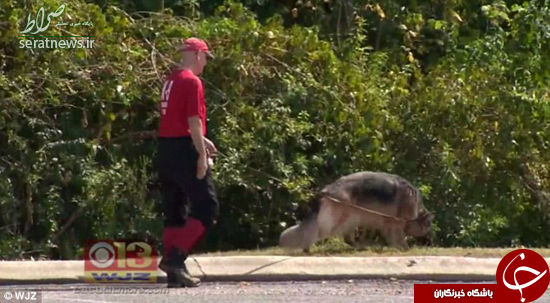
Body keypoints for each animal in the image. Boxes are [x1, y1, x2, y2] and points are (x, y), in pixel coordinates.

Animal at [282, 171, 438, 252]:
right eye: (428, 227)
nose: (431, 243)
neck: (416, 211)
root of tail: (325, 190)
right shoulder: (396, 223)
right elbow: (399, 237)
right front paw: (405, 249)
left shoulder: (386, 223)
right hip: (342, 218)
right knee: (318, 232)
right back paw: (307, 248)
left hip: (353, 217)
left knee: (347, 238)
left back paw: (359, 246)